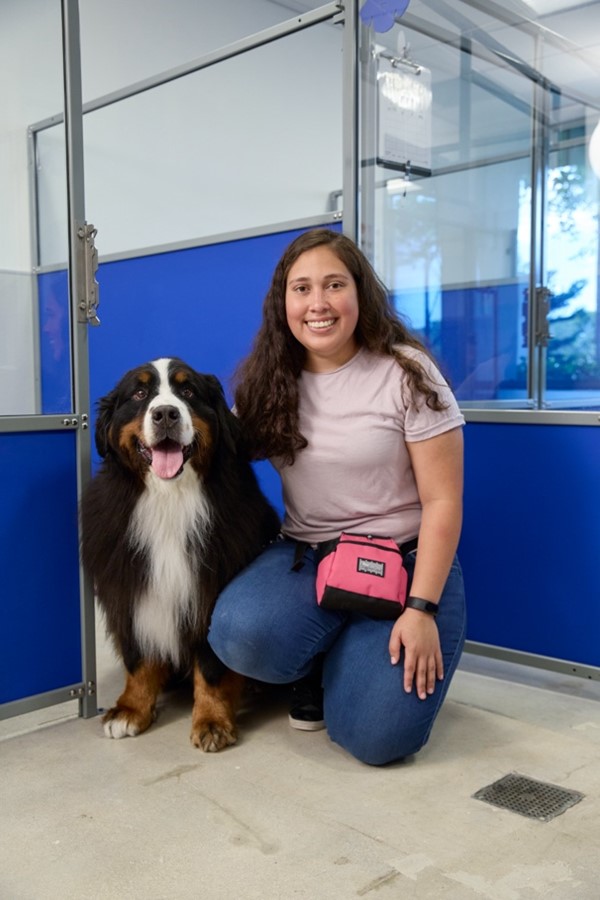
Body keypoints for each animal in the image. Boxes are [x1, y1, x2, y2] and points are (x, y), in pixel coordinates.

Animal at [79, 358, 282, 752]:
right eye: (139, 394)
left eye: (188, 391)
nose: (166, 414)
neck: (168, 500)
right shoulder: (129, 588)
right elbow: (138, 658)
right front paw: (130, 709)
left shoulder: (209, 592)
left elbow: (211, 667)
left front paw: (212, 721)